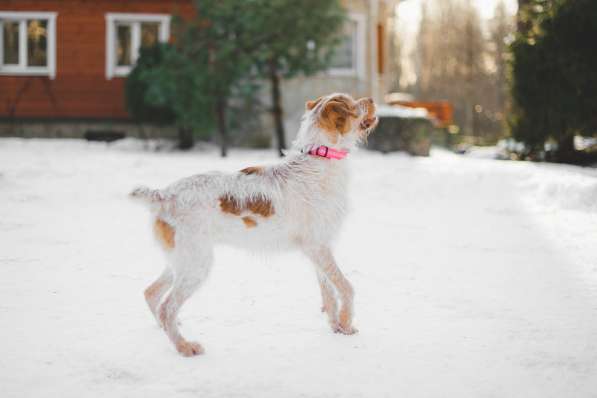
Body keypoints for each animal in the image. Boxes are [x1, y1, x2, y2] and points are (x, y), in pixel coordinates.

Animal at [131, 94, 378, 358]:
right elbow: (346, 287)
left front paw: (336, 327)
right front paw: (346, 322)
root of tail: (164, 194)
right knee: (167, 306)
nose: (372, 99)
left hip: (181, 262)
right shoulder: (318, 248)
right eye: (352, 105)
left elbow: (329, 292)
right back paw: (185, 346)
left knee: (151, 293)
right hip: (195, 265)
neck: (319, 158)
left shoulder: (318, 249)